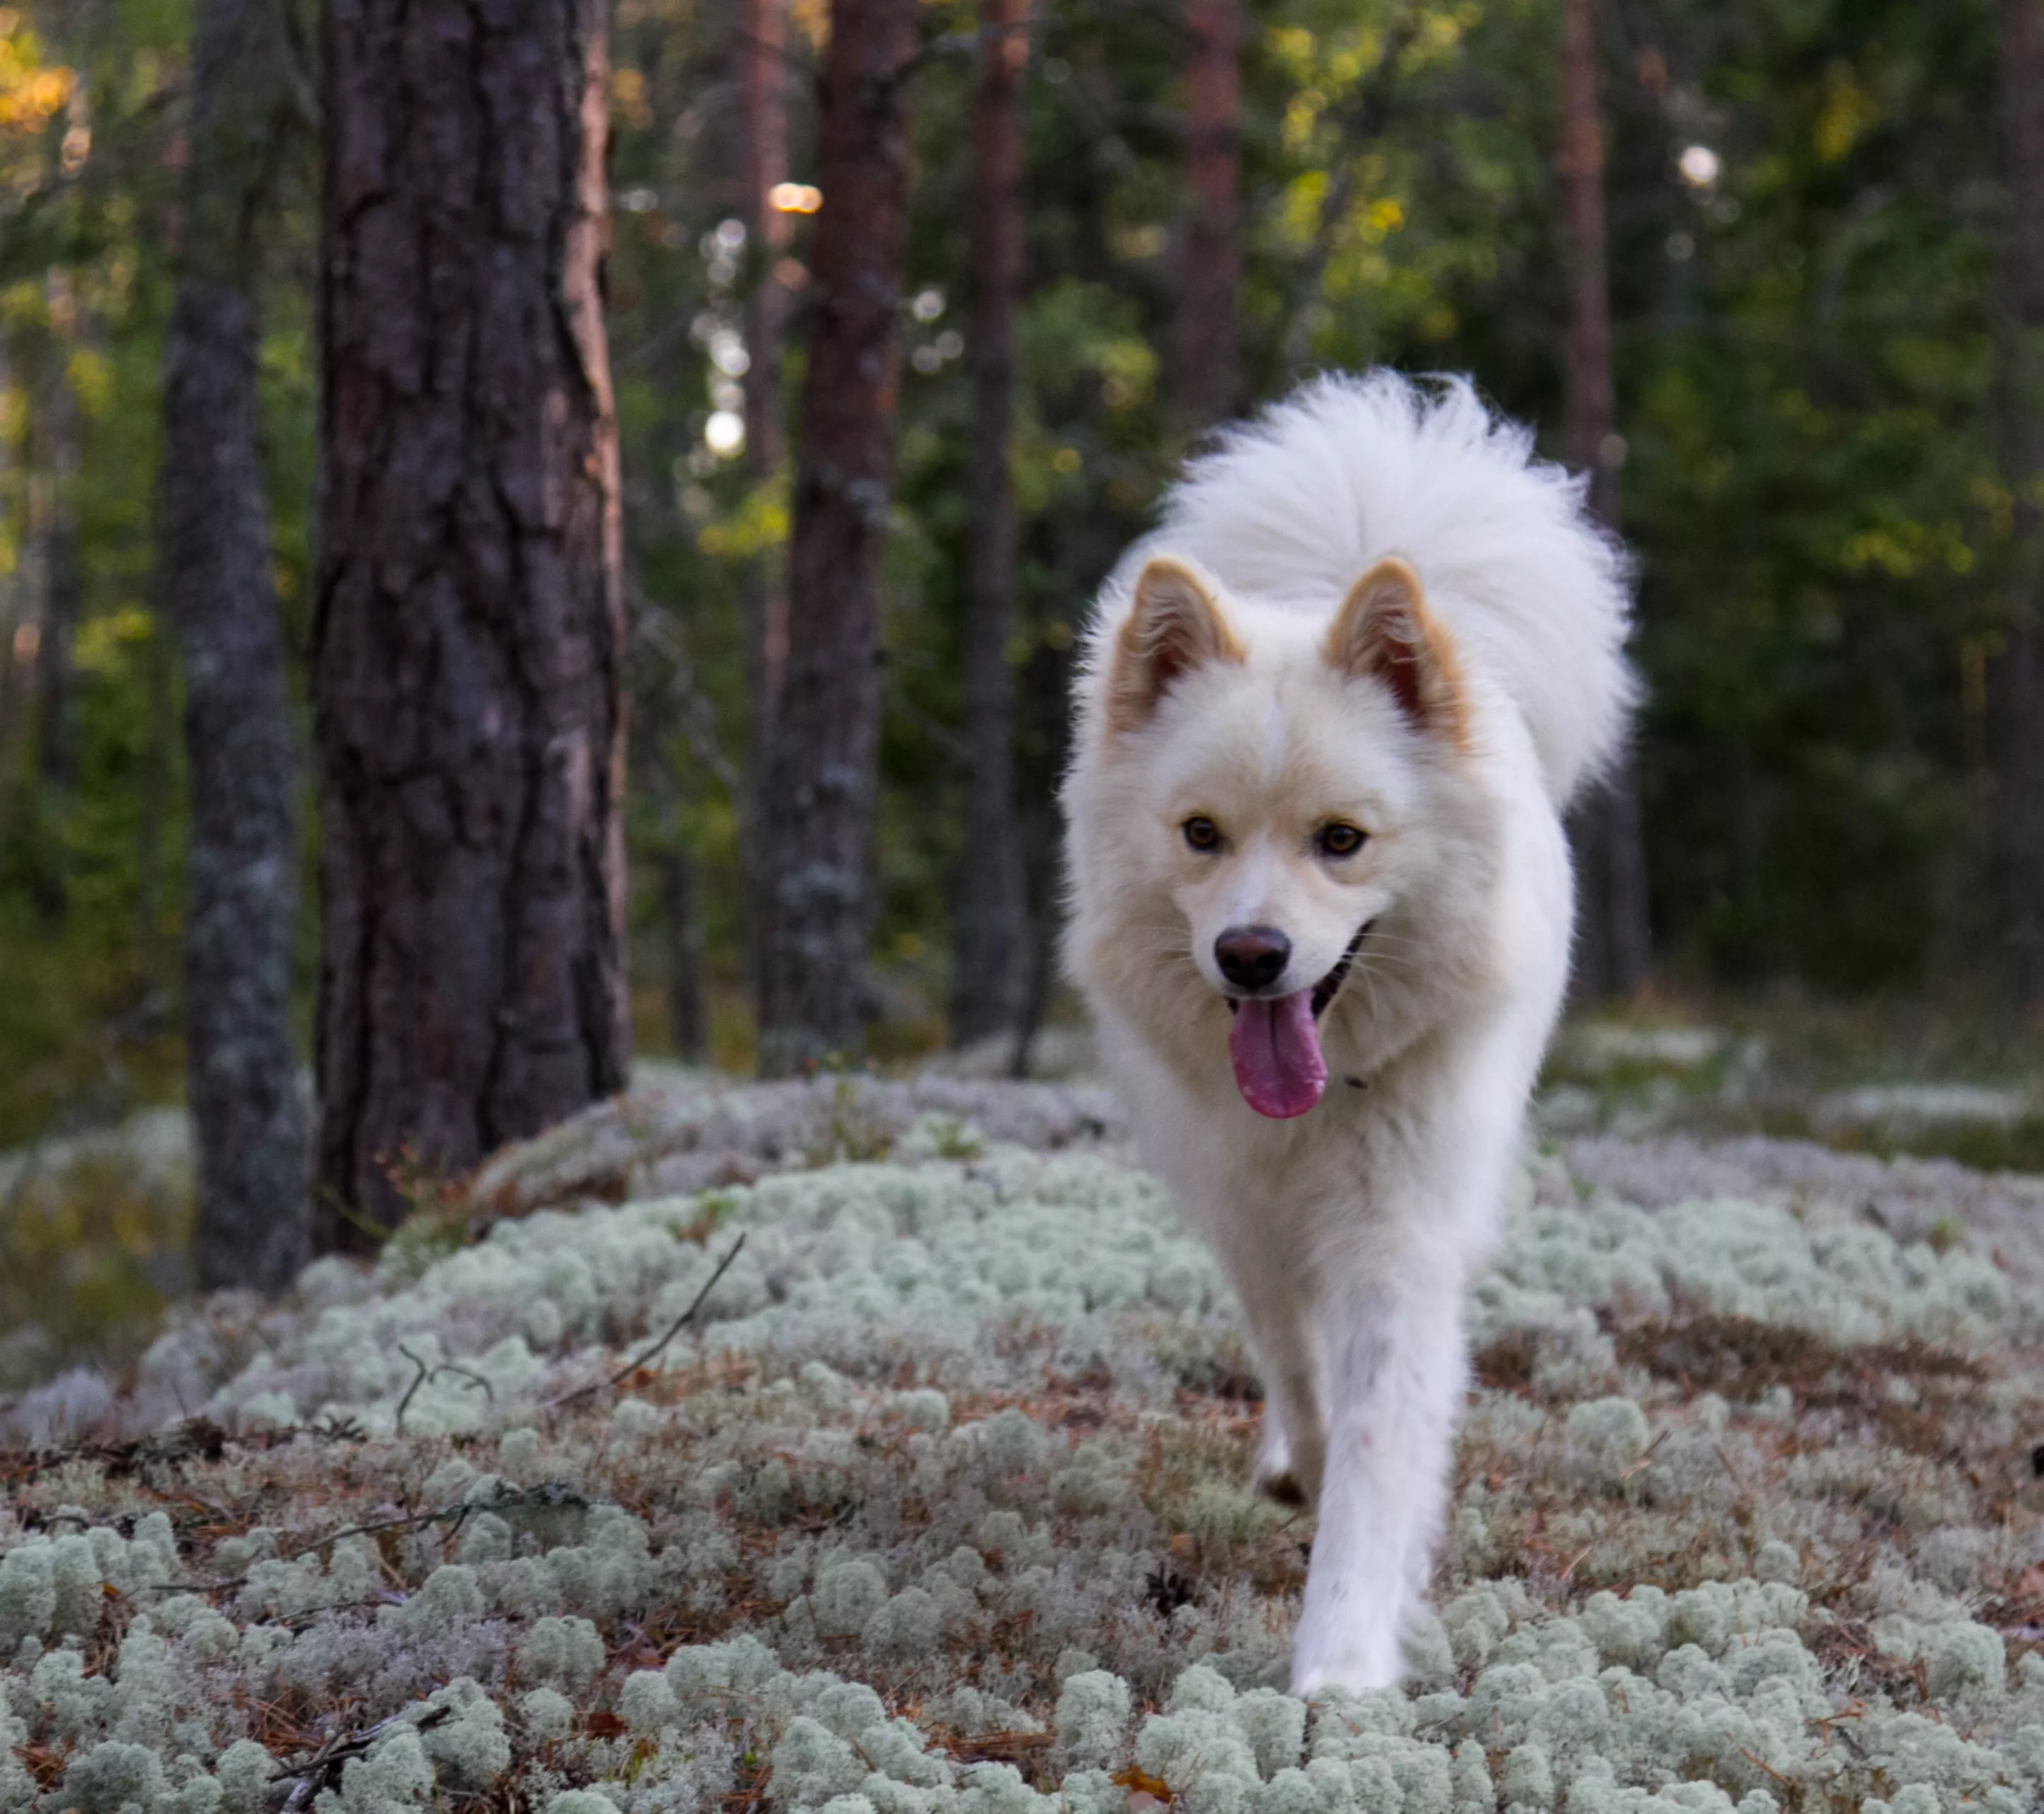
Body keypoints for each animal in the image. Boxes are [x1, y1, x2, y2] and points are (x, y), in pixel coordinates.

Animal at [1062, 376, 1635, 1693]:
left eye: (1342, 841)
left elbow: (1380, 1448)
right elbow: (1296, 1364)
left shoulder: (1398, 1239)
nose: (1252, 954)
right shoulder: (1244, 1212)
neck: (1313, 1112)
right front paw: (1305, 1467)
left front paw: (1340, 1666)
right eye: (1202, 834)